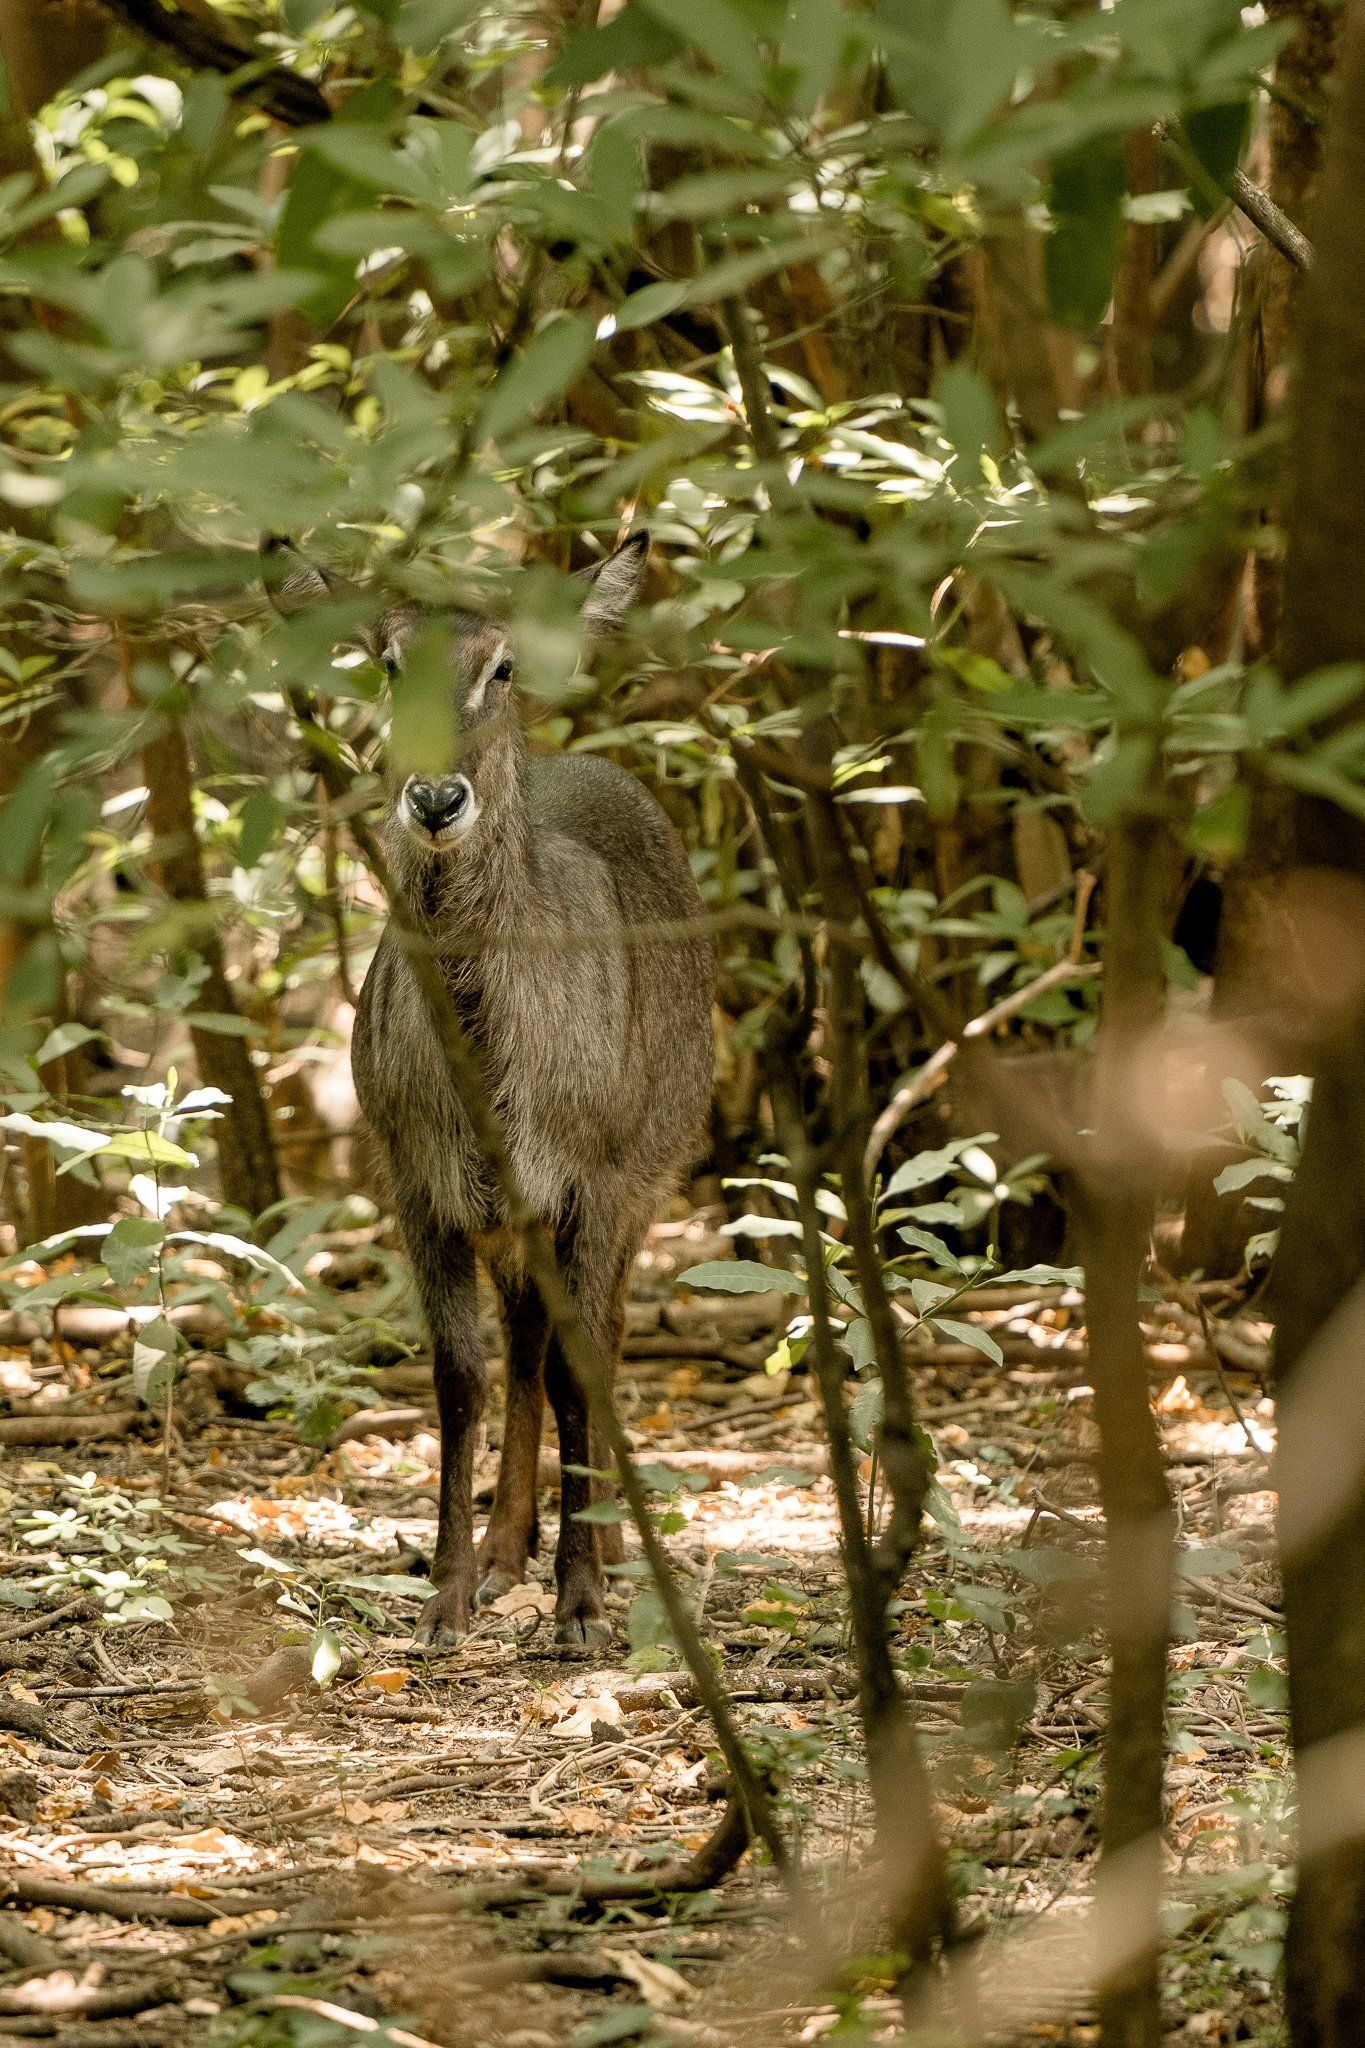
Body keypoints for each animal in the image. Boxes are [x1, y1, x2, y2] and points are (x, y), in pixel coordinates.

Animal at [301, 534, 716, 1647]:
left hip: (646, 1178)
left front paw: (583, 1605)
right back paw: (504, 1546)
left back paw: (608, 1543)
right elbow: (458, 1376)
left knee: (599, 1335)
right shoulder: (420, 1184)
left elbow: (581, 1367)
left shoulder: (596, 1180)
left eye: (501, 667)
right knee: (527, 1343)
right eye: (386, 661)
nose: (437, 798)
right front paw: (447, 1593)